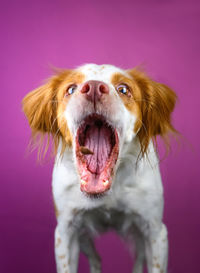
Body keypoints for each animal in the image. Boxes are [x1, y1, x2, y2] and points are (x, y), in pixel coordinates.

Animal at [22, 63, 177, 272]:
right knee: (96, 258)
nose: (94, 88)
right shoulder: (66, 232)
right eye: (71, 89)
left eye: (123, 89)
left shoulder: (155, 231)